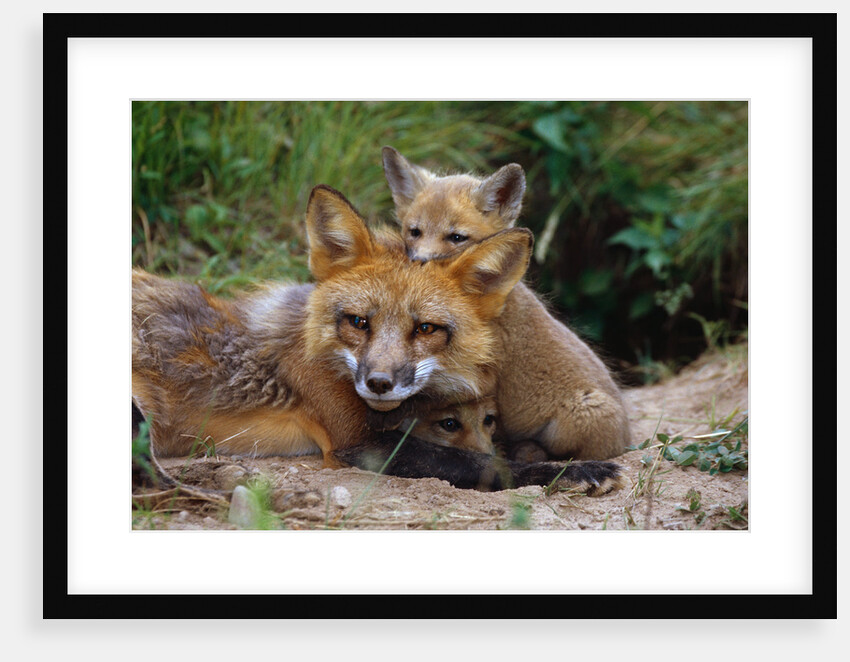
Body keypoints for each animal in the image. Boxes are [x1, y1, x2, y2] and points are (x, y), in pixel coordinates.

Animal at [133, 184, 624, 493]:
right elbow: (478, 462)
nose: (379, 384)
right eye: (358, 322)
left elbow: (484, 452)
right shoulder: (356, 441)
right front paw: (575, 471)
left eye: (426, 328)